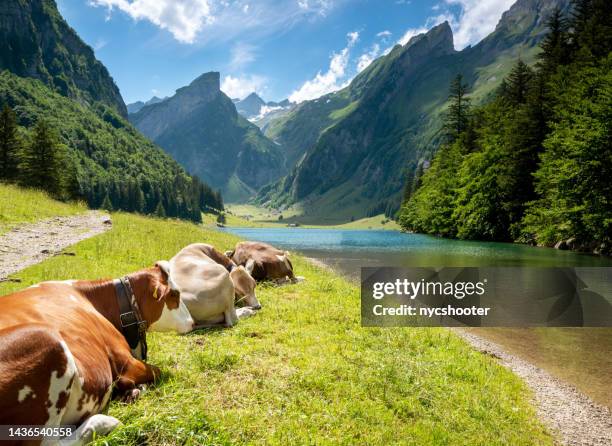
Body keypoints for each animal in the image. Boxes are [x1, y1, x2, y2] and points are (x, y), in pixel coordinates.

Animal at [0, 262, 194, 446]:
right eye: (175, 295)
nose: (192, 322)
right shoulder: (126, 362)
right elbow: (158, 371)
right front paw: (134, 389)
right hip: (47, 341)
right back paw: (107, 421)